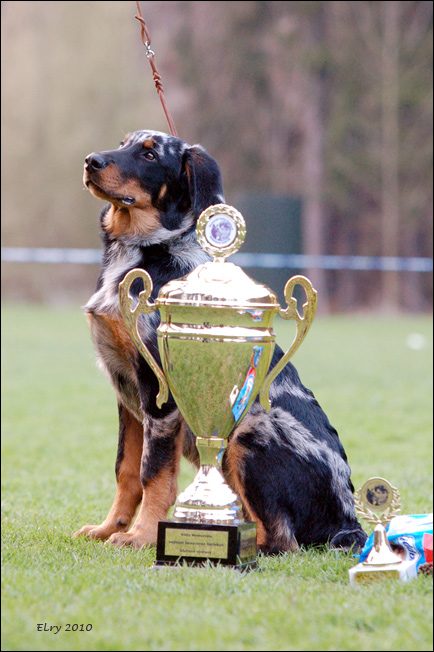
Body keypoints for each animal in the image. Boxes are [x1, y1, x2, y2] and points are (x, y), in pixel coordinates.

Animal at [74, 130, 366, 552]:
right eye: (123, 142)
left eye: (149, 154)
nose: (91, 161)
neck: (143, 251)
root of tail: (350, 523)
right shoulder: (128, 395)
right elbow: (125, 470)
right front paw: (109, 528)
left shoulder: (159, 396)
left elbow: (153, 475)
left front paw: (142, 535)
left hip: (248, 433)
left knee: (279, 537)